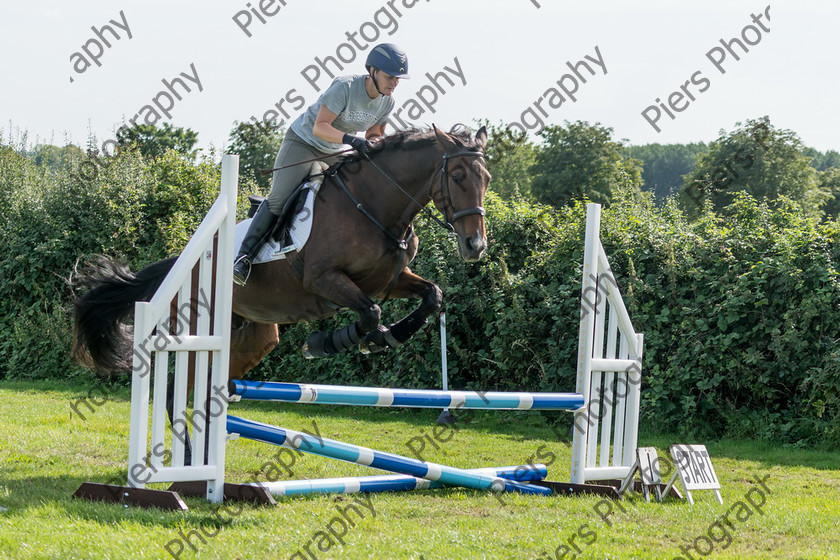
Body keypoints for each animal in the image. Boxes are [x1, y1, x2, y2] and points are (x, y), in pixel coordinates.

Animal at [72, 124, 492, 390]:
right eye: (457, 176)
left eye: (486, 179)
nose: (475, 246)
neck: (372, 205)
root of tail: (174, 266)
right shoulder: (323, 280)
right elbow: (371, 312)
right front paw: (331, 341)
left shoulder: (388, 279)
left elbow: (431, 295)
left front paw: (384, 338)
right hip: (199, 326)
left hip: (253, 333)